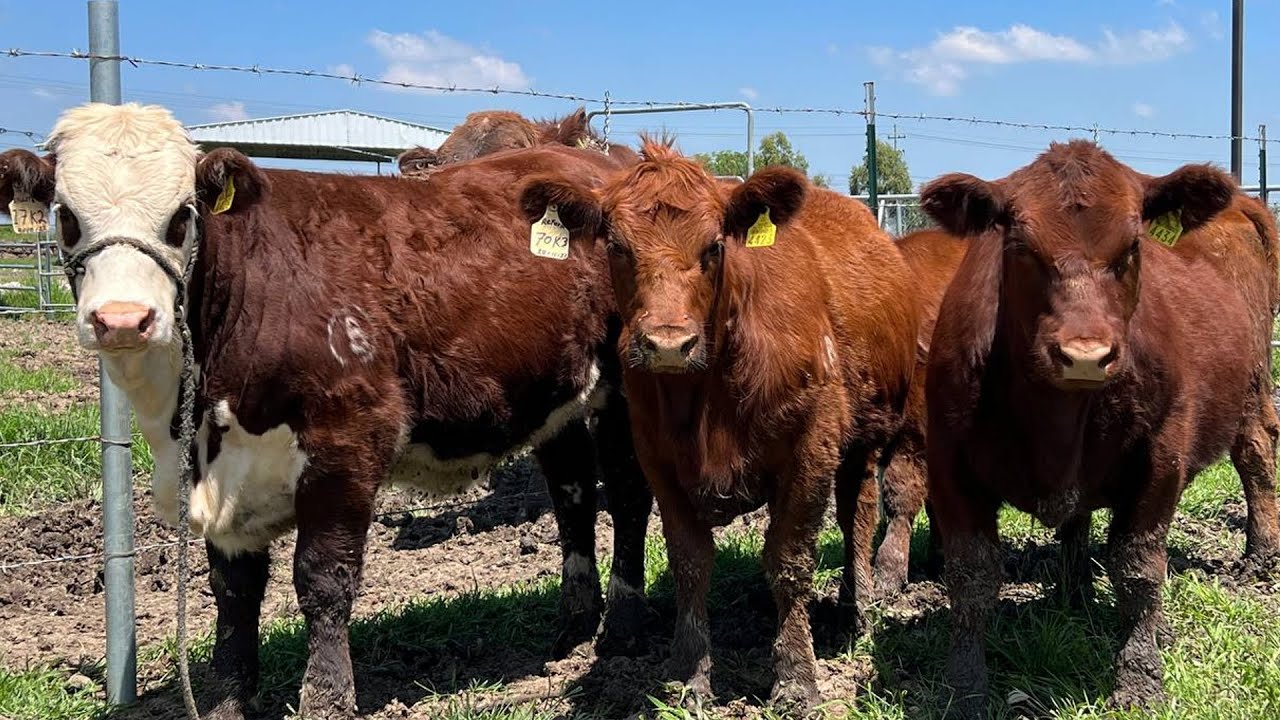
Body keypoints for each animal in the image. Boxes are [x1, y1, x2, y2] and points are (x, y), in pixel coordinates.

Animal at [518, 137, 919, 713]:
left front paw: (796, 677)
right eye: (616, 246)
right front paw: (691, 673)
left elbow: (789, 561)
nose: (668, 344)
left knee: (856, 517)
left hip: (865, 436)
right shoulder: (658, 459)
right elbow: (690, 563)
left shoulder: (810, 450)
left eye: (714, 247)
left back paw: (854, 608)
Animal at [918, 139, 1280, 718]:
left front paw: (1140, 678)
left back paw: (1259, 554)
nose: (1084, 354)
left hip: (1251, 386)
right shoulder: (950, 461)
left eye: (1133, 245)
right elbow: (972, 578)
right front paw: (965, 688)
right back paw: (1077, 596)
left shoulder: (1161, 457)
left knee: (1255, 451)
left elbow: (1137, 568)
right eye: (1019, 245)